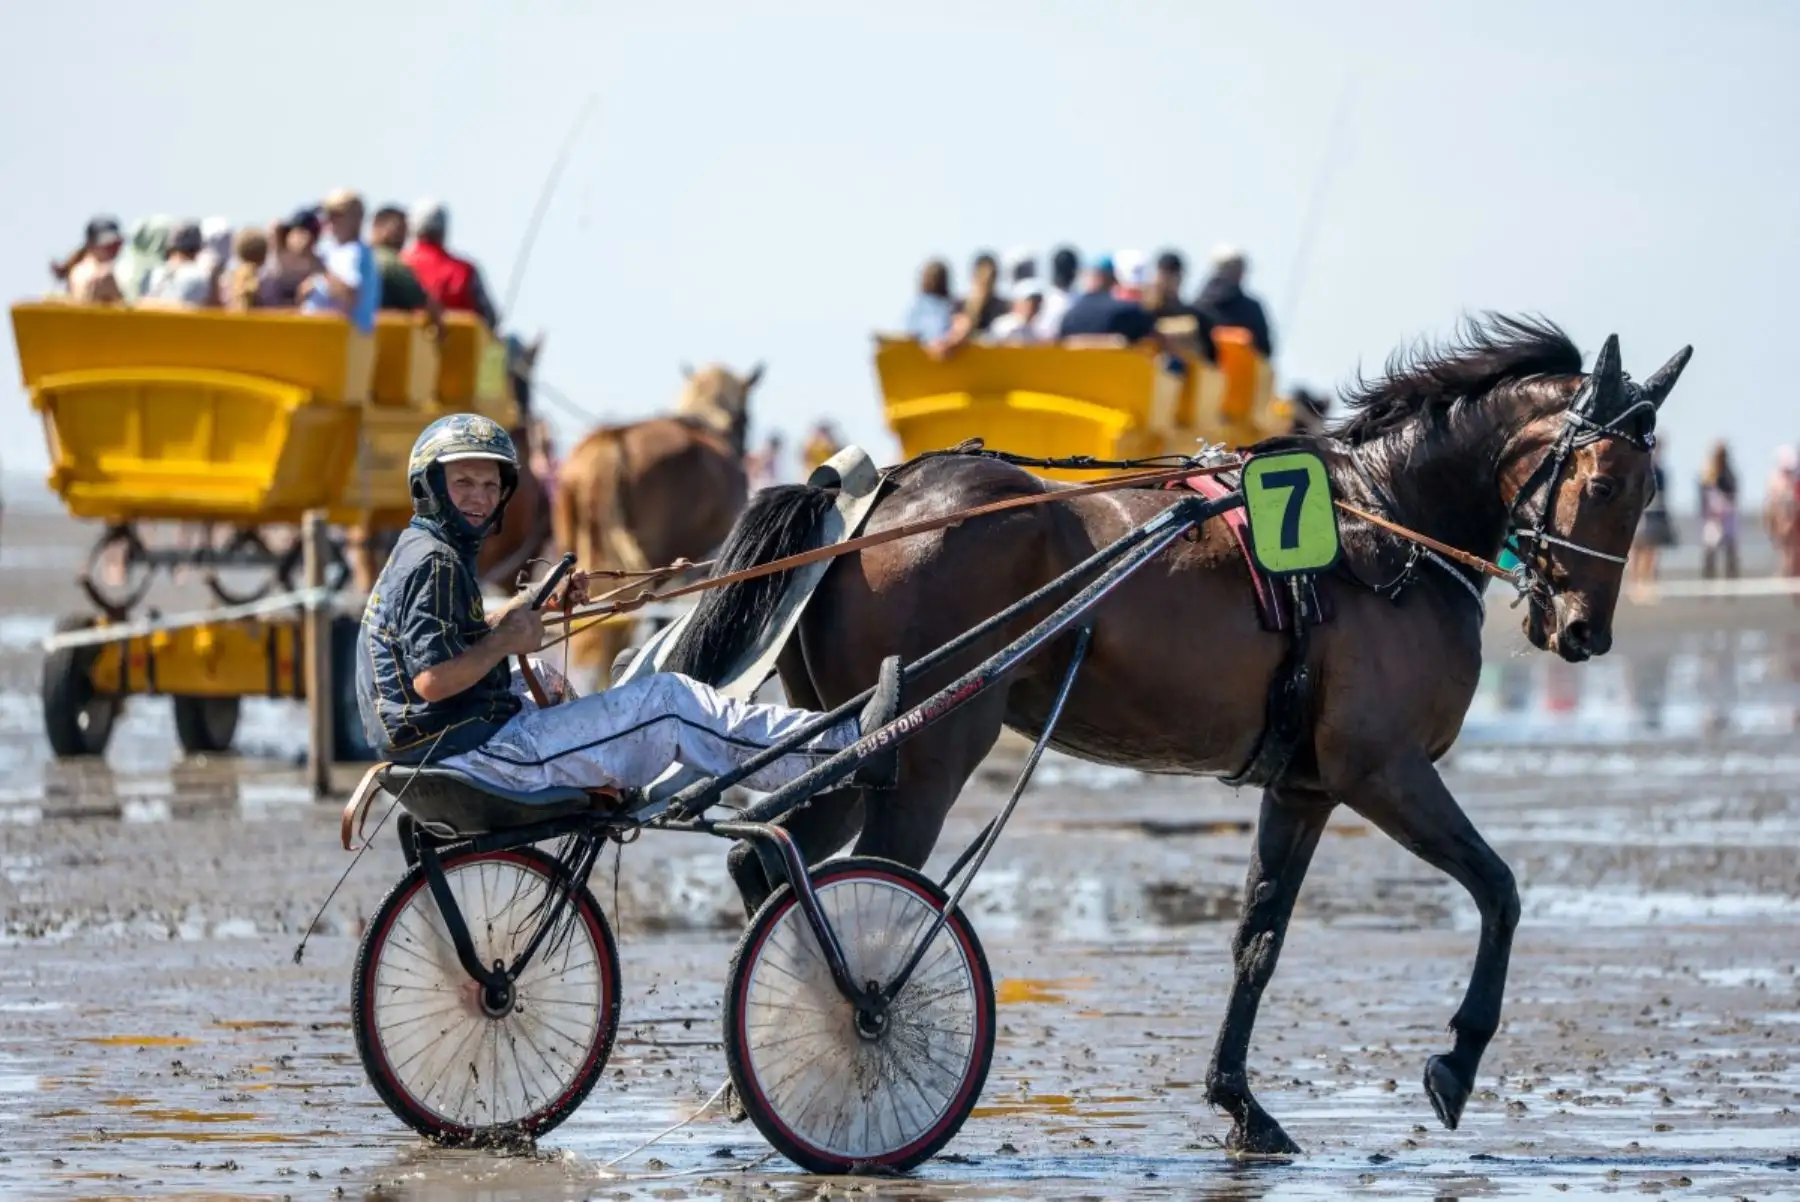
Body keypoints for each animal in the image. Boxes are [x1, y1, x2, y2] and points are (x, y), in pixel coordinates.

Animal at [657, 315, 1691, 1155]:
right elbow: (1501, 891)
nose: (1585, 632)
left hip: (848, 742)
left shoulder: (1305, 787)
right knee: (866, 897)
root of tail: (875, 497)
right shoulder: (1384, 772)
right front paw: (1458, 1062)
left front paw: (1240, 1103)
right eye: (1605, 481)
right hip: (925, 756)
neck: (1379, 533)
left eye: (1650, 492)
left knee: (766, 861)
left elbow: (1258, 941)